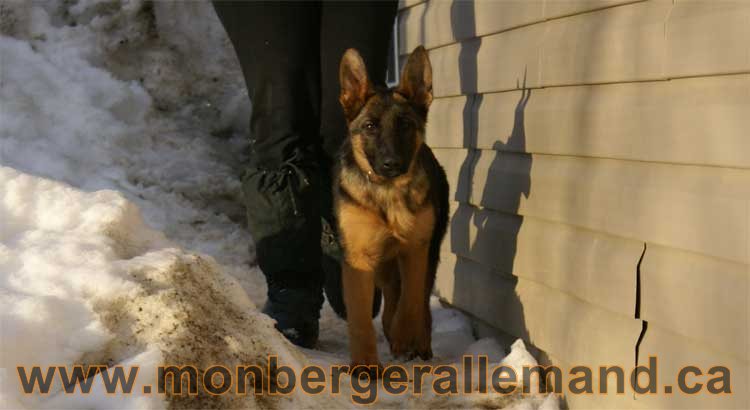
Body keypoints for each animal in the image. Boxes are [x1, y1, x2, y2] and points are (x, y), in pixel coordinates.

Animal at [338, 45, 450, 372]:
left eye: (405, 125)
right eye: (370, 126)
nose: (392, 165)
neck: (387, 193)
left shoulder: (416, 248)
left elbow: (410, 302)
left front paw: (403, 338)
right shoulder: (359, 258)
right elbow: (361, 318)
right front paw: (364, 365)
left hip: (428, 252)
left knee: (418, 302)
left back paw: (419, 344)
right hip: (382, 266)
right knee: (390, 297)